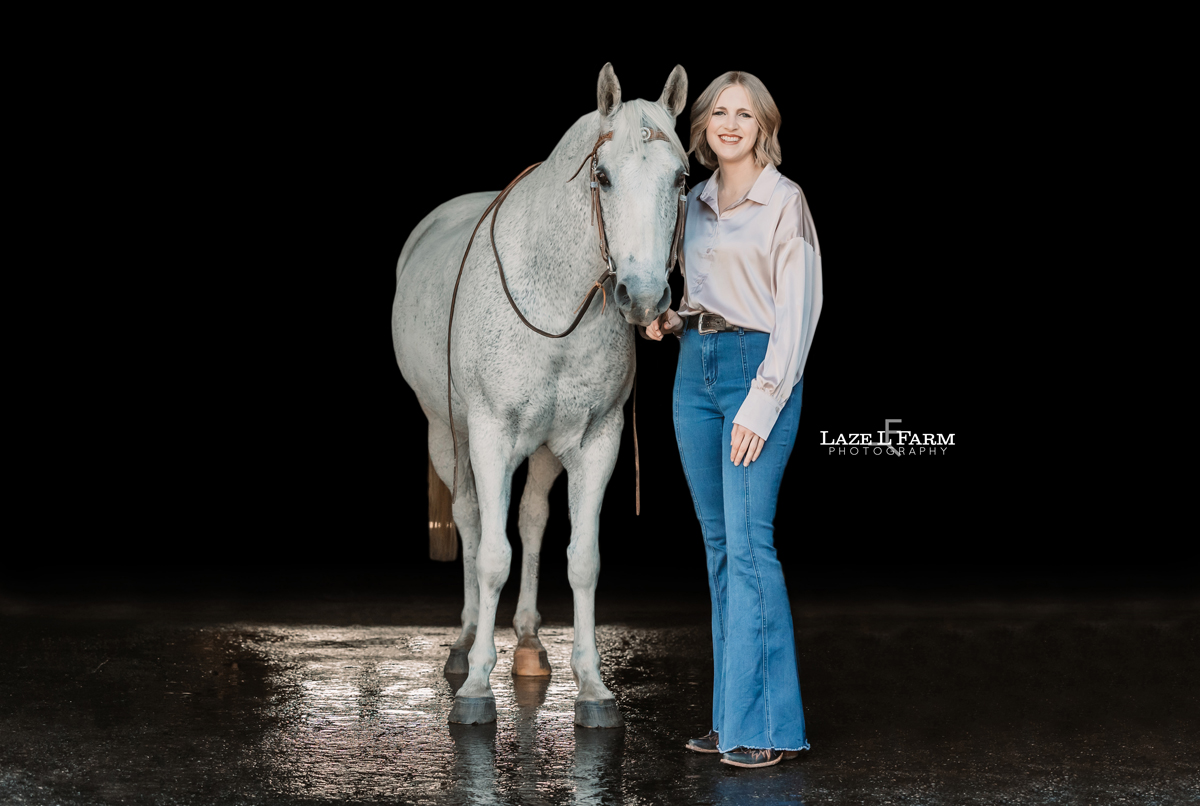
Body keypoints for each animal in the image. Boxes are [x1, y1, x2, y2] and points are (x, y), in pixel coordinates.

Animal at [391, 62, 689, 727]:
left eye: (682, 178)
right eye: (602, 176)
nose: (643, 297)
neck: (555, 298)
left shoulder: (597, 440)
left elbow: (581, 558)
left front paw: (594, 687)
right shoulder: (490, 435)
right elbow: (491, 554)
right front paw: (478, 686)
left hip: (549, 448)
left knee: (529, 519)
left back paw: (527, 641)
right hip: (448, 433)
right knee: (473, 521)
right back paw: (464, 642)